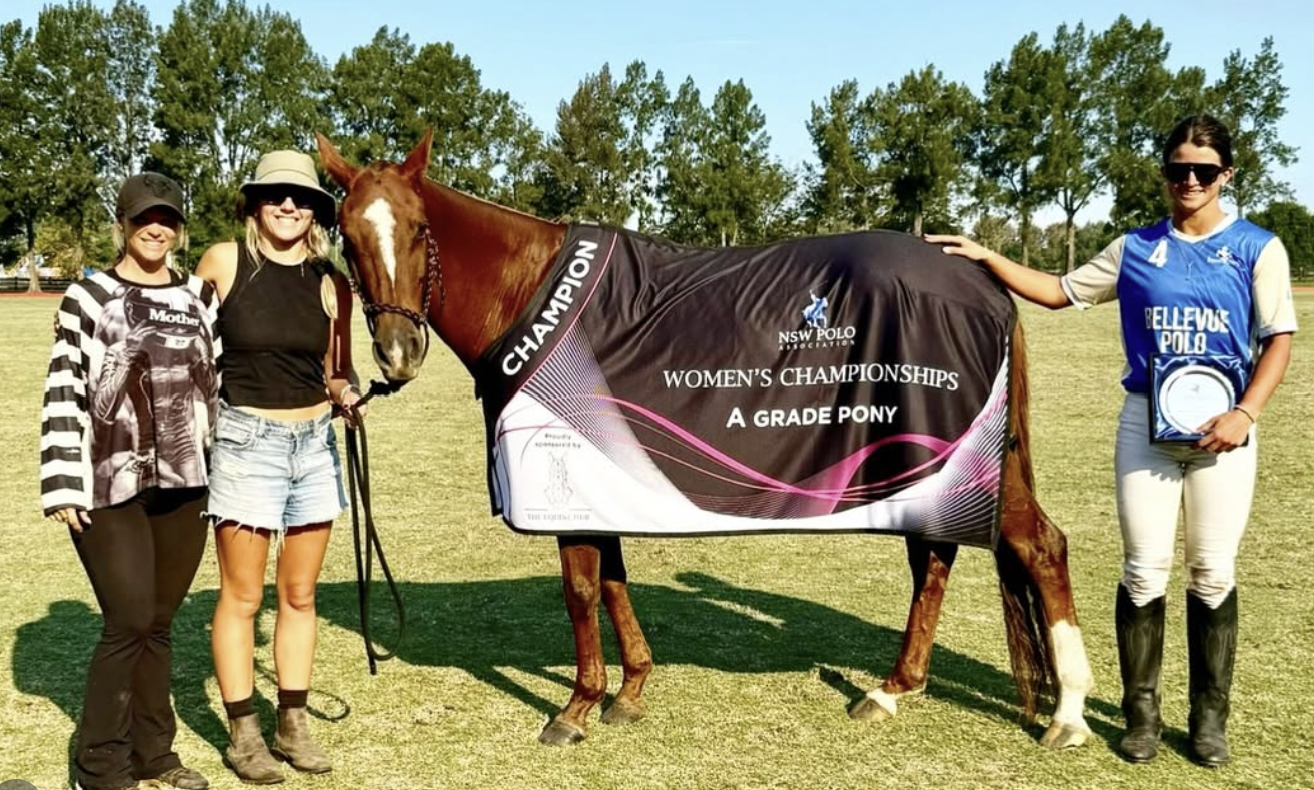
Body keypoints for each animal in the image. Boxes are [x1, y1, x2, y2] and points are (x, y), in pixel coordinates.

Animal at [315, 130, 1093, 748]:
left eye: (420, 228)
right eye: (348, 236)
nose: (397, 352)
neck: (531, 291)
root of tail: (980, 276)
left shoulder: (563, 479)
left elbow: (581, 590)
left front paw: (576, 707)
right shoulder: (601, 481)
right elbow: (613, 582)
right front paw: (629, 691)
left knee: (1041, 547)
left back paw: (1069, 714)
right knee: (934, 562)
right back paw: (893, 689)